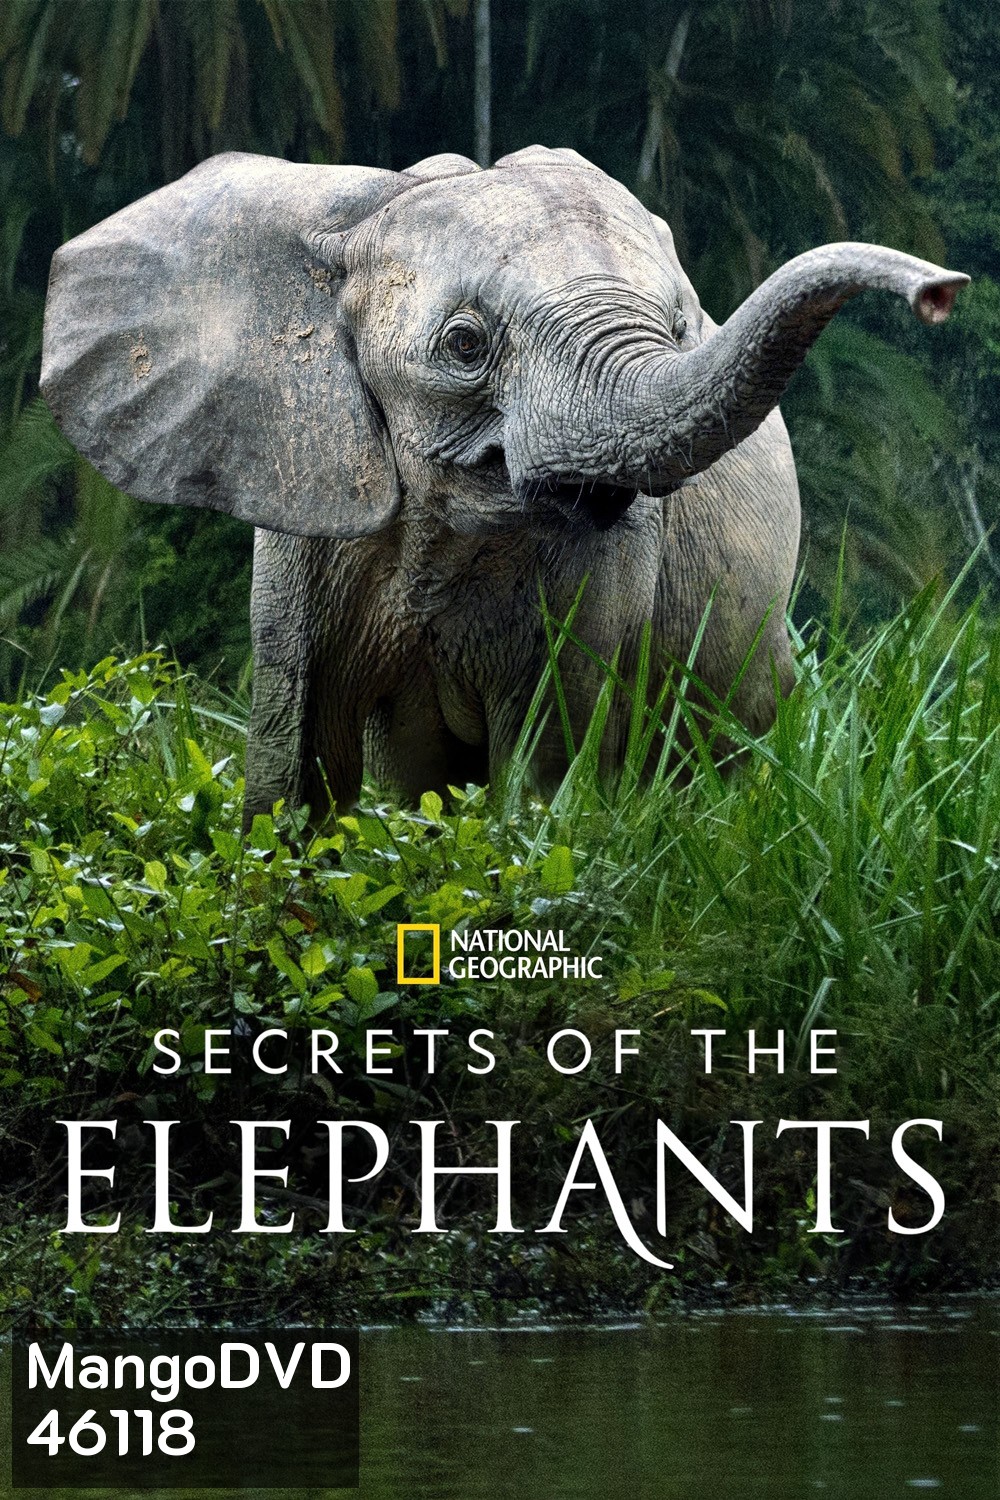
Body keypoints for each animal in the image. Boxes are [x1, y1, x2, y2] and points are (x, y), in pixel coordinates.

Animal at [40, 146, 967, 822]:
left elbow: (546, 757)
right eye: (464, 344)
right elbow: (297, 759)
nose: (941, 292)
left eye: (680, 329)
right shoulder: (305, 504)